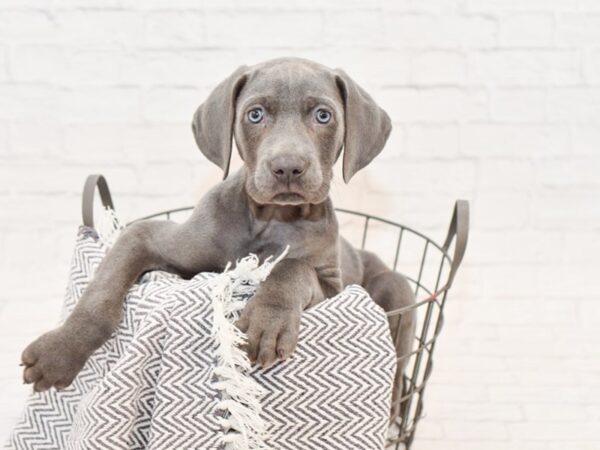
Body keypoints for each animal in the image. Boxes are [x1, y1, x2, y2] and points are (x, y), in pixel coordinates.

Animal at [24, 58, 418, 420]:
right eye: (255, 115)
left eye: (323, 116)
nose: (288, 167)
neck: (270, 220)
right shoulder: (147, 236)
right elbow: (101, 292)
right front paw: (61, 351)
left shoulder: (334, 286)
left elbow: (293, 267)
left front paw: (268, 322)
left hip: (396, 289)